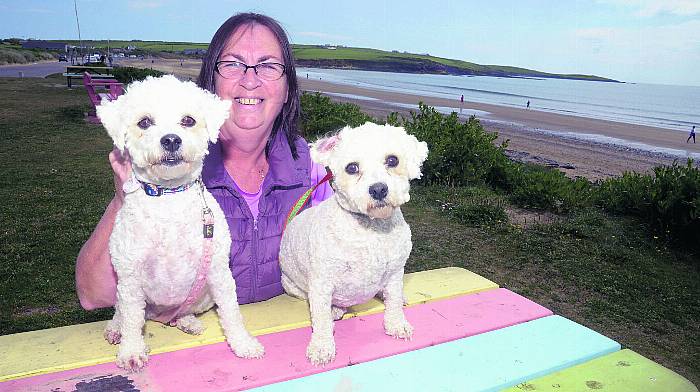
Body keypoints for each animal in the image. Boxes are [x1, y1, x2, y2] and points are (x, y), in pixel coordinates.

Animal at [97, 76, 264, 370]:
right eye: (144, 122)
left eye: (188, 120)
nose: (171, 140)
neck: (169, 199)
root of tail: (161, 314)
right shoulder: (130, 276)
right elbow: (132, 319)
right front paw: (131, 351)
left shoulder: (219, 271)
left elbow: (232, 313)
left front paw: (243, 344)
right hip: (126, 291)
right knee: (123, 313)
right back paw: (116, 329)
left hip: (202, 294)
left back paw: (186, 321)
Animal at [278, 121, 426, 364]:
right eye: (352, 168)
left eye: (392, 160)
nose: (378, 189)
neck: (370, 230)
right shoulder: (321, 284)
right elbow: (320, 318)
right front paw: (321, 346)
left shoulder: (395, 273)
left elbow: (394, 301)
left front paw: (396, 324)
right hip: (293, 286)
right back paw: (335, 310)